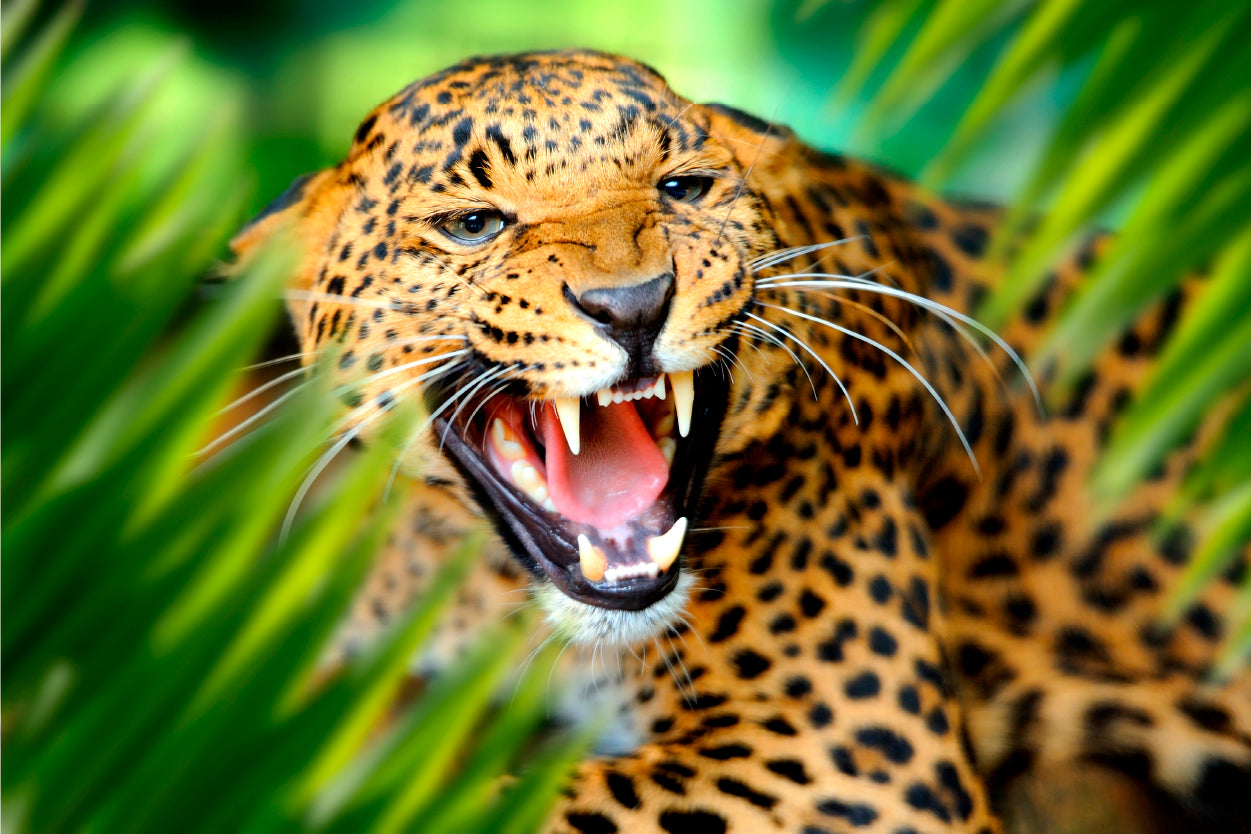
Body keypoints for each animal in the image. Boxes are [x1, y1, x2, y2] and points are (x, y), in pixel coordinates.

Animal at [230, 50, 1251, 833]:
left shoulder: (852, 757)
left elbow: (515, 802)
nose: (631, 305)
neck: (499, 593)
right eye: (474, 224)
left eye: (682, 188)